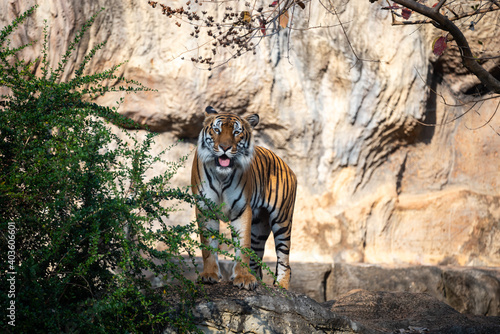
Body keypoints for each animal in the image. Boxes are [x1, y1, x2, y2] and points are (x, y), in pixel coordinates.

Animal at [191, 106, 296, 290]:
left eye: (236, 132)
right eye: (217, 130)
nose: (225, 147)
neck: (221, 176)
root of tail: (286, 164)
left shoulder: (241, 210)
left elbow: (243, 246)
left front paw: (244, 278)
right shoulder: (205, 208)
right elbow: (208, 247)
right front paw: (209, 275)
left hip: (282, 219)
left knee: (284, 258)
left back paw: (281, 286)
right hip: (259, 227)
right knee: (257, 260)